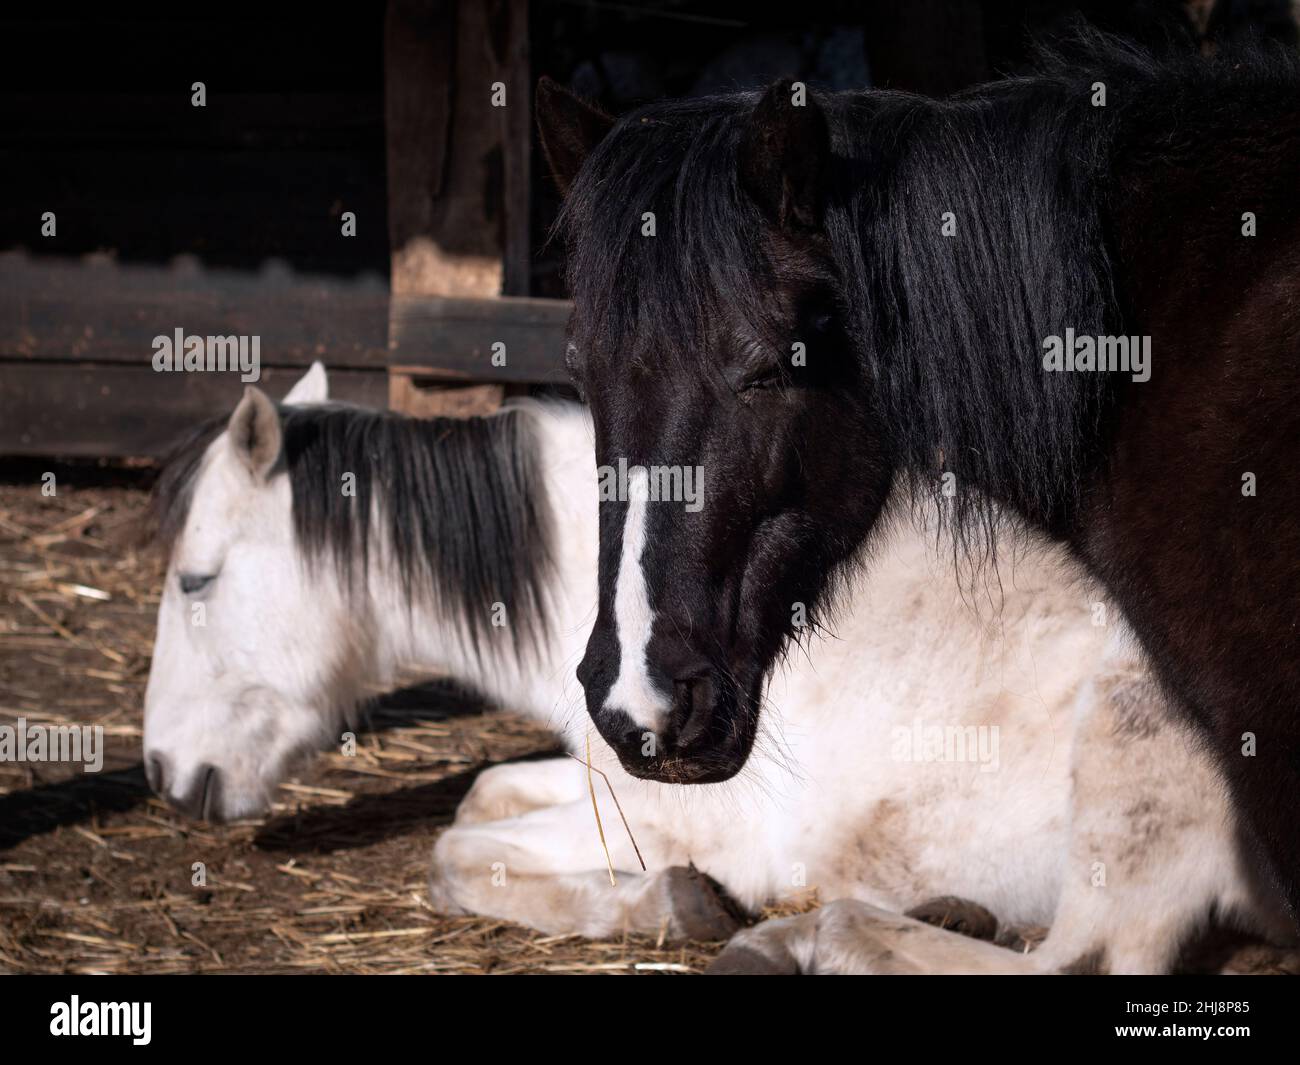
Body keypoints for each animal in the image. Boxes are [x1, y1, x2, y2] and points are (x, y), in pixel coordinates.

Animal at [144, 366, 1289, 972]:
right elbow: (478, 798)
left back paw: (806, 934)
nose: (162, 773)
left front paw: (672, 904)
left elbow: (454, 857)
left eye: (197, 580)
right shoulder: (602, 784)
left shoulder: (689, 816)